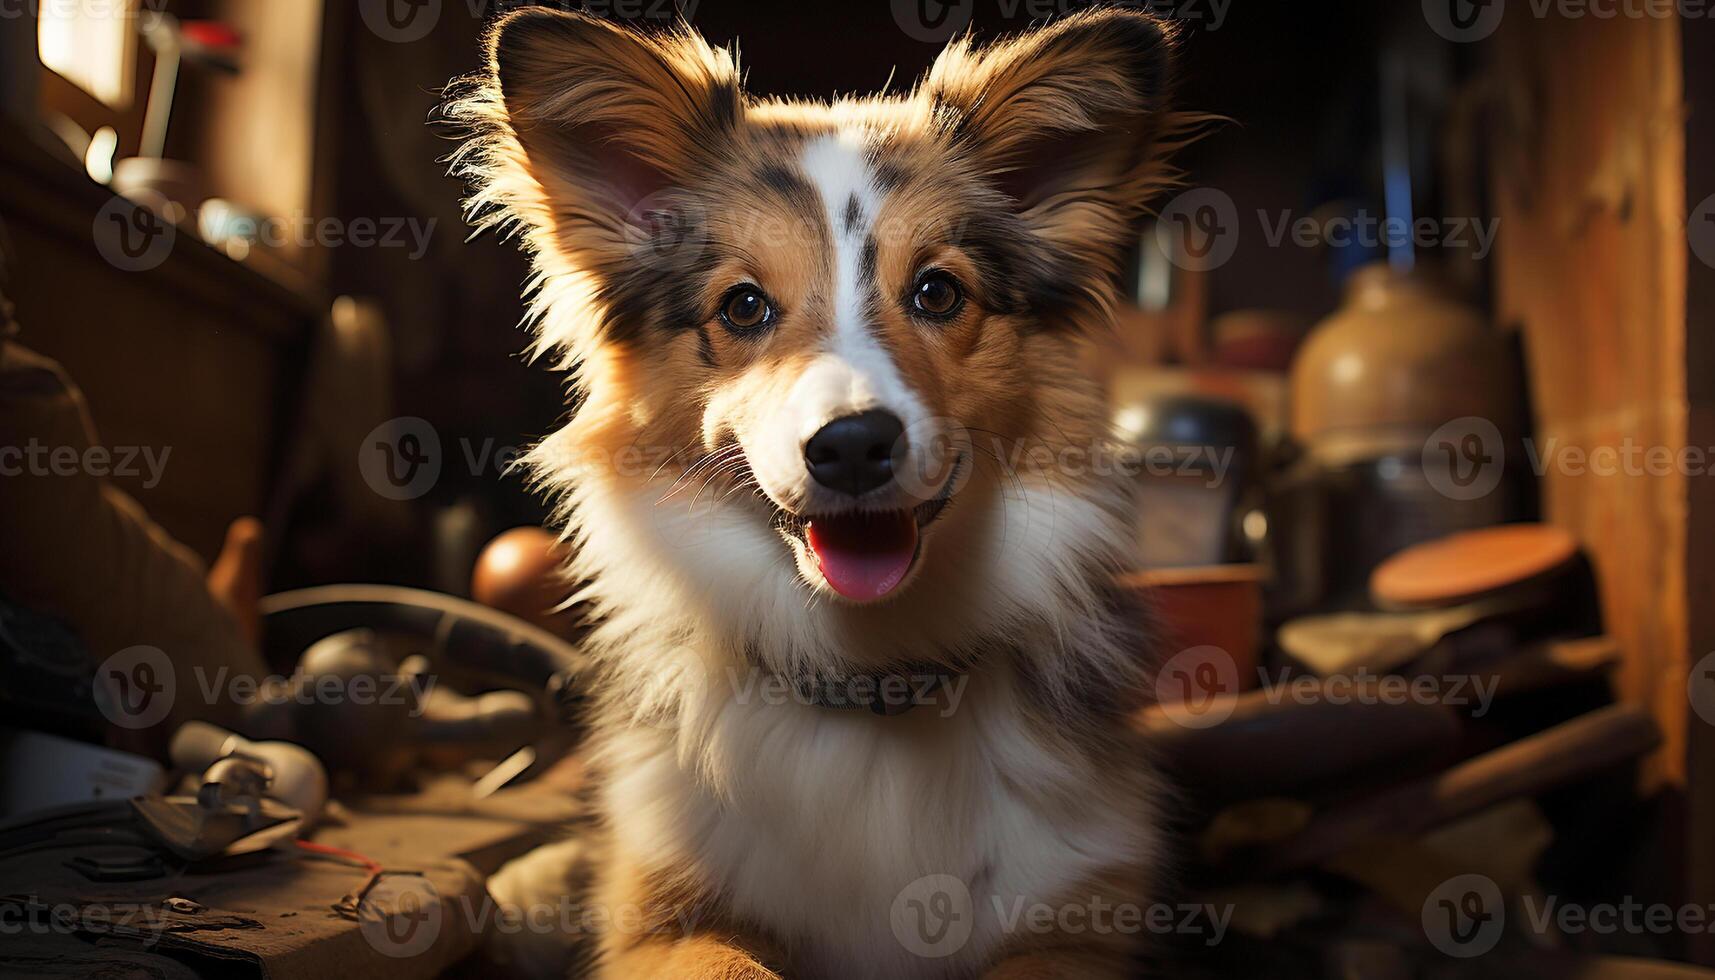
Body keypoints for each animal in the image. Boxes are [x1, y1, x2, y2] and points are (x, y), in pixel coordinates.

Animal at [452, 7, 1193, 980]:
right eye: (742, 307)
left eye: (938, 292)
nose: (851, 448)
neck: (866, 677)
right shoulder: (658, 919)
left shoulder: (1078, 922)